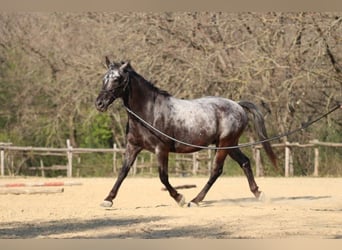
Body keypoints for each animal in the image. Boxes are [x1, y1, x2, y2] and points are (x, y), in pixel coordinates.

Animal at [95, 57, 276, 207]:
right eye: (104, 78)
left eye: (117, 78)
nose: (99, 103)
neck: (149, 112)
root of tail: (238, 105)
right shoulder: (133, 147)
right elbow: (123, 172)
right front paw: (108, 199)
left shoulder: (161, 149)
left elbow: (163, 176)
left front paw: (179, 198)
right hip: (229, 144)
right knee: (244, 162)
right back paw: (258, 194)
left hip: (224, 145)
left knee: (216, 170)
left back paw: (195, 200)